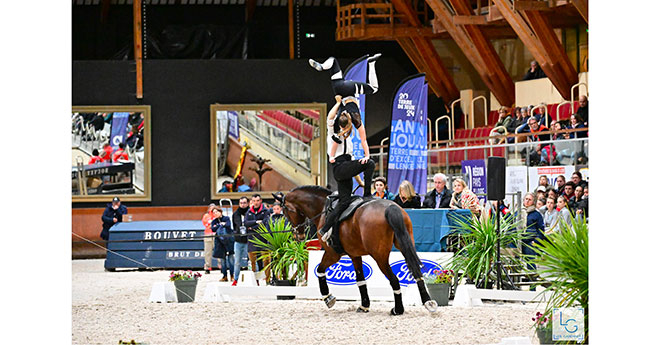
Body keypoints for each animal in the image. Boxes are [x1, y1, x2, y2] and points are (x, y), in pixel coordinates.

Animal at [274, 185, 438, 314]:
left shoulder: (333, 254)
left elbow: (320, 270)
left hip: (380, 257)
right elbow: (360, 280)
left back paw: (398, 309)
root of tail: (391, 208)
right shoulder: (354, 255)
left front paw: (328, 298)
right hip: (405, 246)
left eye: (285, 212)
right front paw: (364, 305)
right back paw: (427, 302)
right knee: (416, 272)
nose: (298, 235)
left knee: (394, 280)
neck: (323, 208)